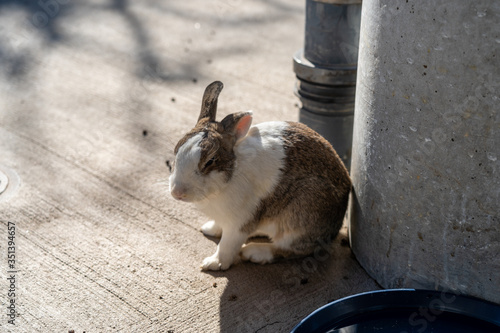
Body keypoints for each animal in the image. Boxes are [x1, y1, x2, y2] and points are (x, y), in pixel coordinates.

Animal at [169, 80, 352, 270]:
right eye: (177, 150)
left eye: (210, 161)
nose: (177, 192)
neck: (232, 174)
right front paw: (210, 229)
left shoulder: (238, 224)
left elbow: (227, 246)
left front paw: (213, 263)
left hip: (301, 216)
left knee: (291, 249)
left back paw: (254, 252)